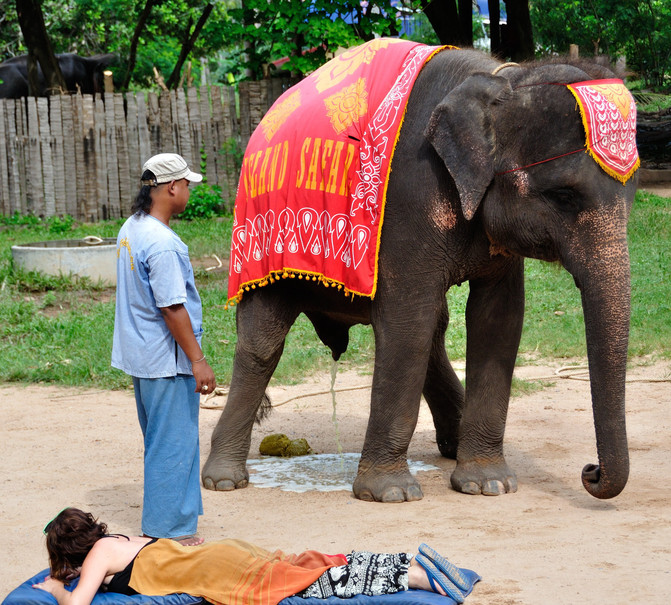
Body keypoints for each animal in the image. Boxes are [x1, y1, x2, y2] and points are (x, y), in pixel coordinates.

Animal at [203, 44, 640, 502]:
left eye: (633, 193)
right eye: (562, 195)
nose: (590, 471)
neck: (504, 78)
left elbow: (496, 320)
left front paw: (489, 485)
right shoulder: (408, 199)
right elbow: (407, 320)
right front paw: (390, 494)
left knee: (432, 329)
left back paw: (453, 446)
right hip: (260, 239)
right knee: (263, 341)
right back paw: (223, 480)